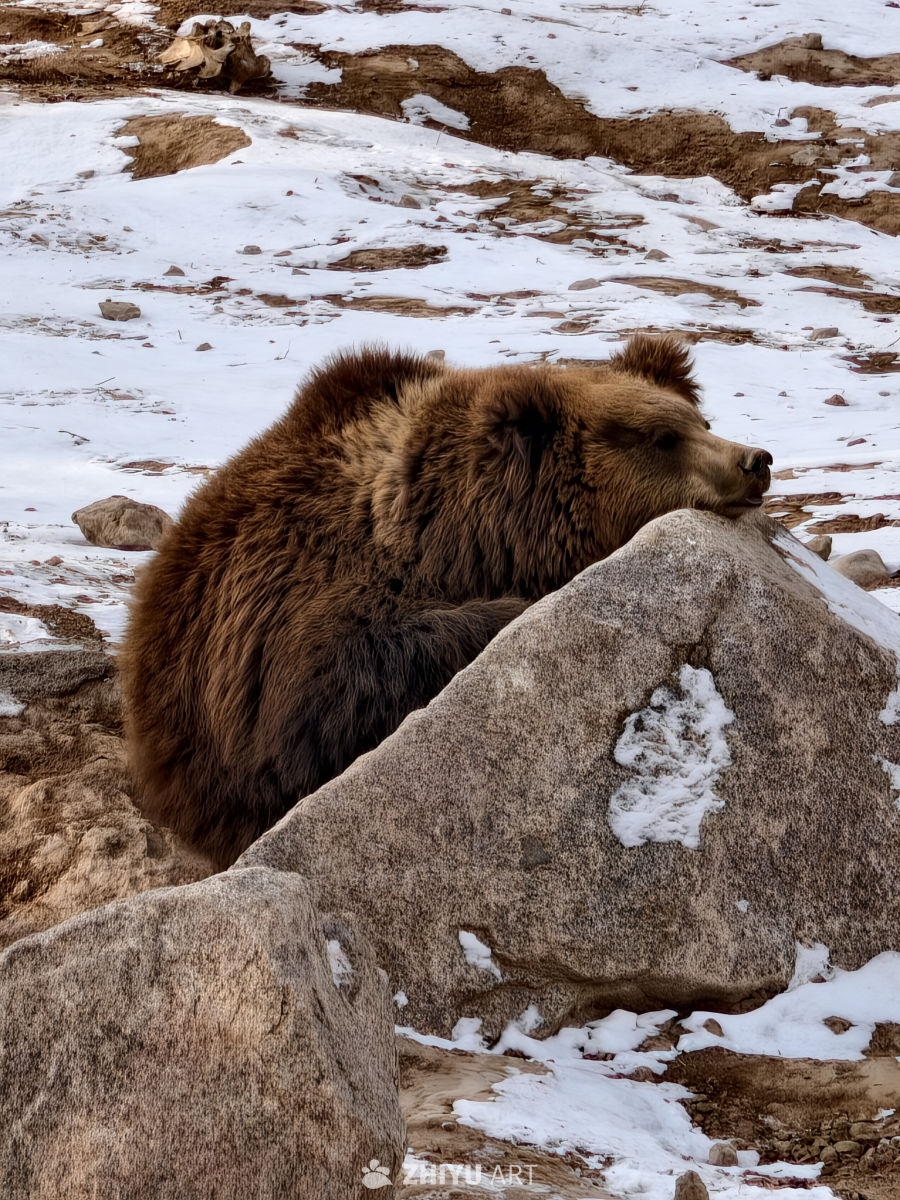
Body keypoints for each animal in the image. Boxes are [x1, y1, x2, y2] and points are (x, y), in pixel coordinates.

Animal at [120, 335, 772, 867]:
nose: (754, 460)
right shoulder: (293, 614)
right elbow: (328, 690)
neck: (460, 535)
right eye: (662, 437)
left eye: (699, 418)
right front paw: (513, 610)